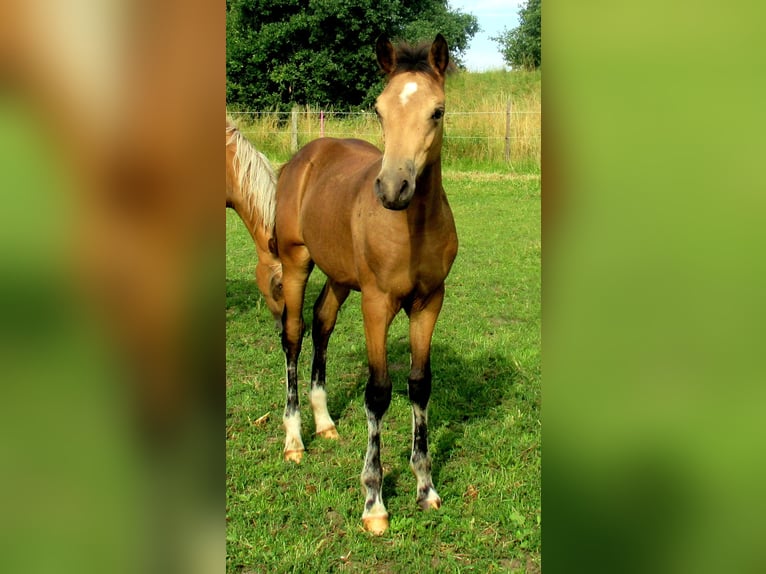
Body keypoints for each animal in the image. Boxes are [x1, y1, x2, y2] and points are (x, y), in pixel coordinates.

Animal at [274, 35, 460, 536]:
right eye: (378, 109)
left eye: (437, 111)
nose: (393, 188)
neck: (413, 228)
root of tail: (305, 156)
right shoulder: (377, 304)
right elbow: (378, 393)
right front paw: (374, 501)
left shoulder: (429, 302)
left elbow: (420, 384)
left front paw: (426, 488)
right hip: (296, 262)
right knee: (294, 334)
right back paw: (295, 439)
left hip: (340, 276)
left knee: (322, 322)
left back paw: (324, 422)